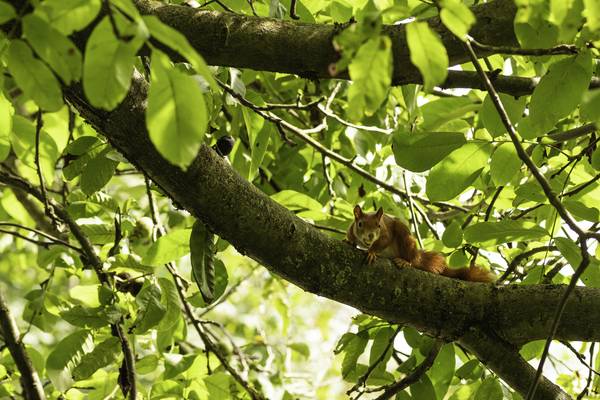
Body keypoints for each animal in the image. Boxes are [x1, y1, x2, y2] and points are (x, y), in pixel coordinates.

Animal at [344, 205, 494, 282]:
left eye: (378, 225)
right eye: (360, 224)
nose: (370, 236)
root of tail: (417, 256)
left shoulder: (386, 233)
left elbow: (383, 241)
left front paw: (372, 252)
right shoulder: (351, 228)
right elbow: (350, 235)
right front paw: (349, 241)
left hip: (405, 238)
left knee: (412, 259)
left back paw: (406, 262)